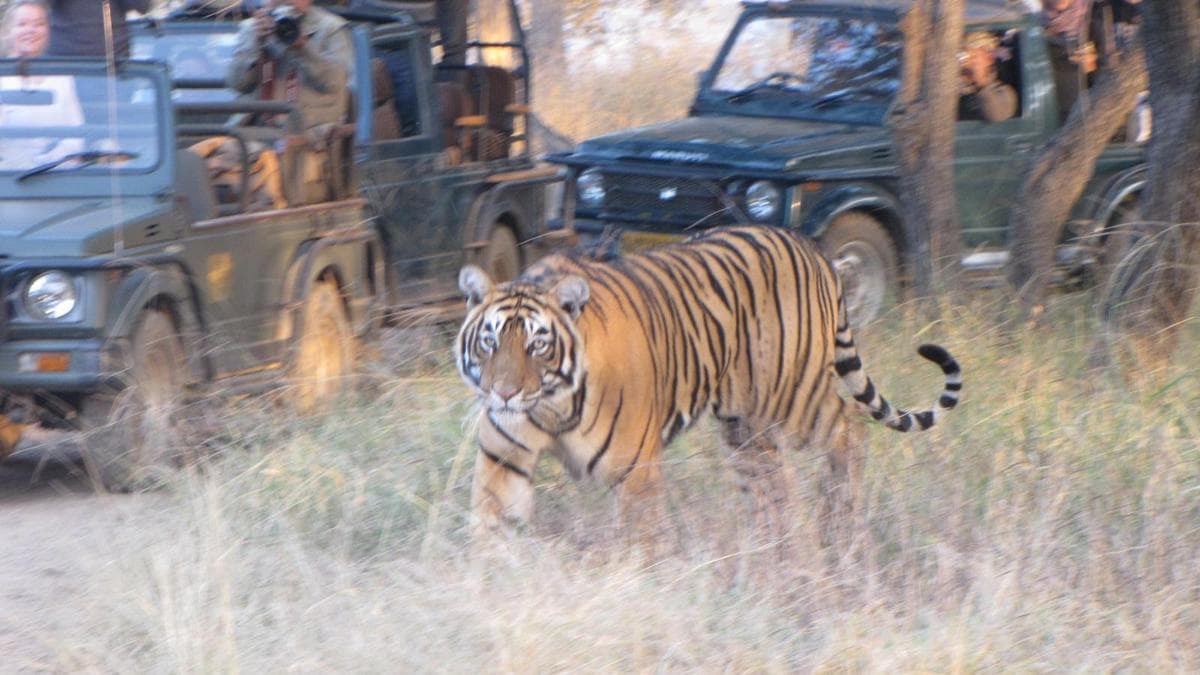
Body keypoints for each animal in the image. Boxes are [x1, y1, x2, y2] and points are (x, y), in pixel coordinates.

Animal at [455, 225, 961, 538]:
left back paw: (838, 520)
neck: (551, 407)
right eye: (490, 341)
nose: (504, 393)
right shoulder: (503, 461)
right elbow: (491, 529)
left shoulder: (635, 473)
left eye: (538, 344)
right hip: (746, 428)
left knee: (851, 427)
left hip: (792, 398)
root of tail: (814, 249)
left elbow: (640, 544)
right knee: (771, 486)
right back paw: (774, 542)